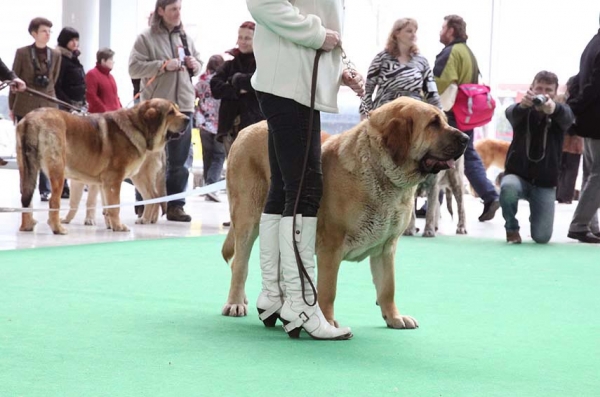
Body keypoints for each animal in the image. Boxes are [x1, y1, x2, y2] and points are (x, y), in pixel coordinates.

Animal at [17, 98, 188, 234]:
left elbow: (104, 207)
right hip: (58, 172)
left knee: (27, 199)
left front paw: (111, 225)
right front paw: (118, 227)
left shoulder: (102, 183)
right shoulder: (112, 181)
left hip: (26, 171)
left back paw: (27, 226)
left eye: (177, 109)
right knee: (53, 201)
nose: (187, 119)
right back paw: (57, 228)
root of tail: (31, 120)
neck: (137, 125)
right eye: (171, 112)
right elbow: (114, 206)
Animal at [220, 97, 468, 330]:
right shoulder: (332, 246)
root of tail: (246, 130)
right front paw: (328, 322)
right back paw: (236, 303)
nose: (466, 138)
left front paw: (394, 317)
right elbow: (328, 290)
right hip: (248, 219)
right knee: (239, 265)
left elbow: (388, 287)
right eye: (433, 124)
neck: (381, 171)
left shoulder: (386, 248)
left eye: (444, 120)